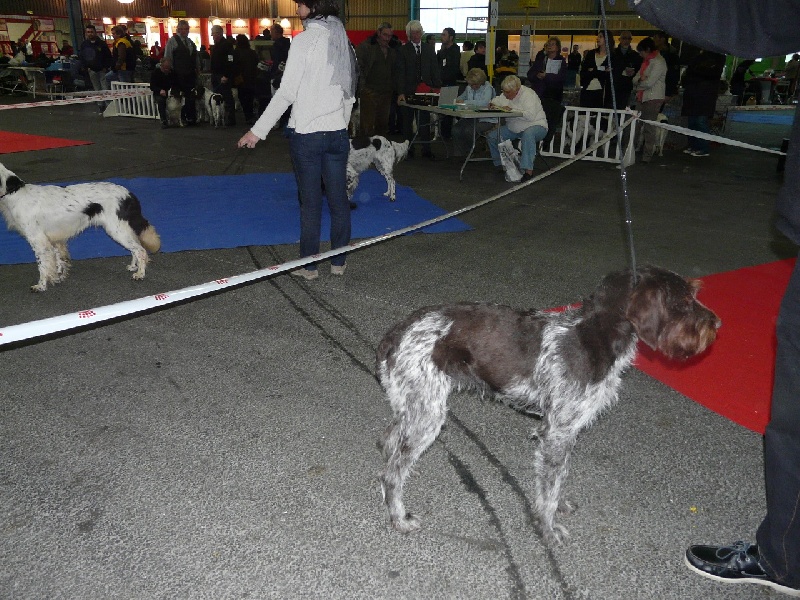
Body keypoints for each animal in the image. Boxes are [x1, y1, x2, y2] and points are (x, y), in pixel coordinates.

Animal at [0, 163, 161, 292]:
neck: (14, 192)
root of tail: (129, 195)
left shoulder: (38, 240)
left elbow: (43, 265)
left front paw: (41, 285)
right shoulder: (54, 239)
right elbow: (59, 260)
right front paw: (59, 277)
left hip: (116, 229)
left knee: (140, 250)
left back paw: (140, 274)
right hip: (121, 229)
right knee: (135, 247)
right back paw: (134, 266)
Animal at [377, 265, 720, 544]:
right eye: (683, 301)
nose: (717, 323)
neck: (596, 335)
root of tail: (399, 330)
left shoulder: (565, 432)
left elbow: (558, 478)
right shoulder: (557, 432)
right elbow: (550, 488)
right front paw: (548, 528)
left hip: (414, 407)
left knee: (388, 442)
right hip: (427, 415)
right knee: (392, 471)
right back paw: (399, 516)